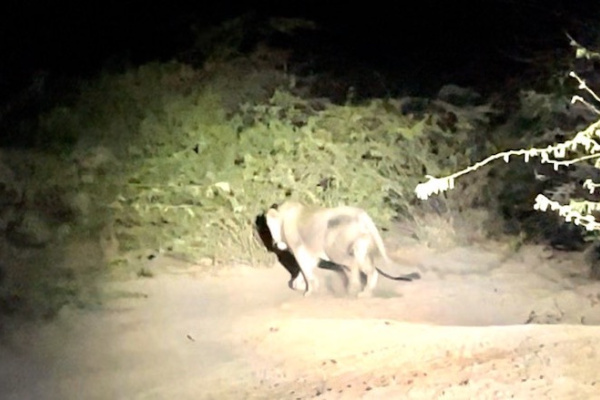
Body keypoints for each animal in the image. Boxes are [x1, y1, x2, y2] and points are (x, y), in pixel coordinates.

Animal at [264, 200, 420, 296]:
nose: (275, 244)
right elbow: (304, 272)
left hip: (333, 249)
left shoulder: (299, 249)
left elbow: (305, 270)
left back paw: (352, 289)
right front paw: (300, 285)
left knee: (353, 264)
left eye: (270, 226)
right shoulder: (312, 253)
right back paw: (364, 293)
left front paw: (309, 291)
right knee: (371, 270)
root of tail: (361, 214)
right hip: (361, 247)